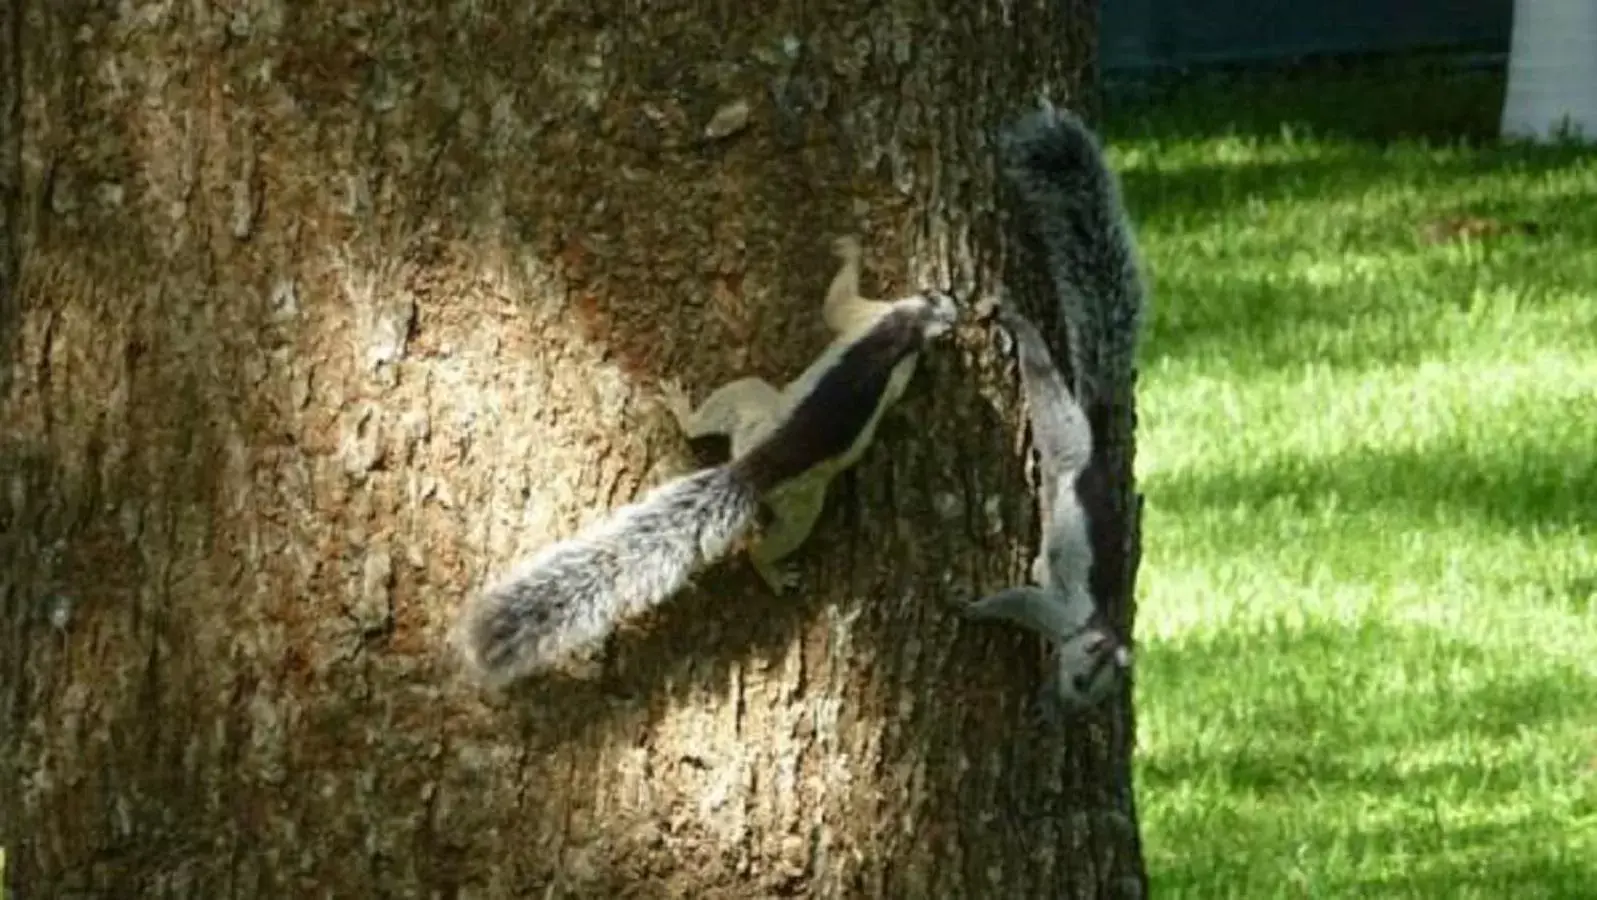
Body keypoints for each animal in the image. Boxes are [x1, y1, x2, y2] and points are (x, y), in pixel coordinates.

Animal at [453, 236, 958, 686]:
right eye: (938, 297)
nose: (955, 305)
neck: (909, 323)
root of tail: (749, 470)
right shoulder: (873, 320)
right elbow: (838, 305)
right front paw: (851, 251)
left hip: (752, 413)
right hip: (801, 496)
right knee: (772, 539)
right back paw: (772, 569)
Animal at [951, 103, 1143, 724]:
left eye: (1090, 691)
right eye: (1083, 676)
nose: (1067, 703)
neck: (1089, 627)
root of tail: (1098, 447)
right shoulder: (1054, 612)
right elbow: (1017, 600)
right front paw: (971, 608)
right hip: (1065, 439)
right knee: (1045, 387)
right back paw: (1020, 326)